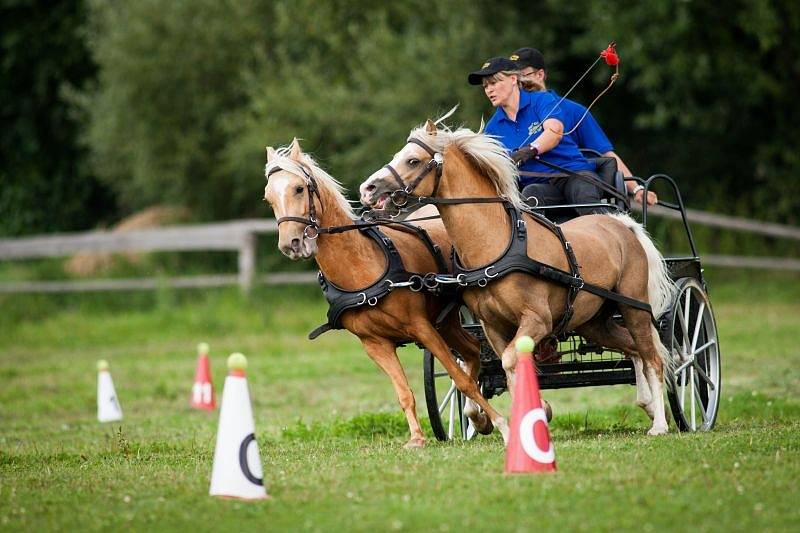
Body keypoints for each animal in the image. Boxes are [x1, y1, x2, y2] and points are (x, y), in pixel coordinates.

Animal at [266, 138, 510, 444]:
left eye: (299, 188)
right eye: (268, 198)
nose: (291, 244)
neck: (360, 270)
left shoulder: (422, 327)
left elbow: (461, 379)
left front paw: (503, 424)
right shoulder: (375, 344)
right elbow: (404, 392)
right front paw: (417, 438)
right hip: (447, 321)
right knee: (472, 350)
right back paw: (476, 417)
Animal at [360, 120, 680, 432]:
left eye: (413, 160)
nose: (367, 188)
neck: (497, 244)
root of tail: (621, 223)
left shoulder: (537, 320)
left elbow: (512, 362)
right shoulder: (493, 326)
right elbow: (505, 366)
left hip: (633, 308)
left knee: (652, 357)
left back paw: (661, 424)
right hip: (594, 322)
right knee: (633, 350)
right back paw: (649, 405)